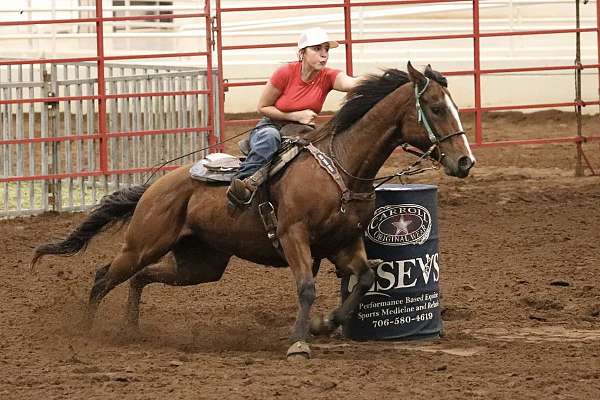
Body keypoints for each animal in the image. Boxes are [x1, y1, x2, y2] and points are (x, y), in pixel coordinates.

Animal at [31, 63, 474, 360]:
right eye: (435, 108)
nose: (465, 162)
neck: (341, 166)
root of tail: (157, 186)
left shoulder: (344, 243)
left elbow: (365, 279)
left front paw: (324, 325)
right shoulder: (294, 235)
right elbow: (306, 287)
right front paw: (299, 341)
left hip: (201, 264)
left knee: (140, 278)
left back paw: (131, 328)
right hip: (143, 243)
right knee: (105, 274)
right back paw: (88, 331)